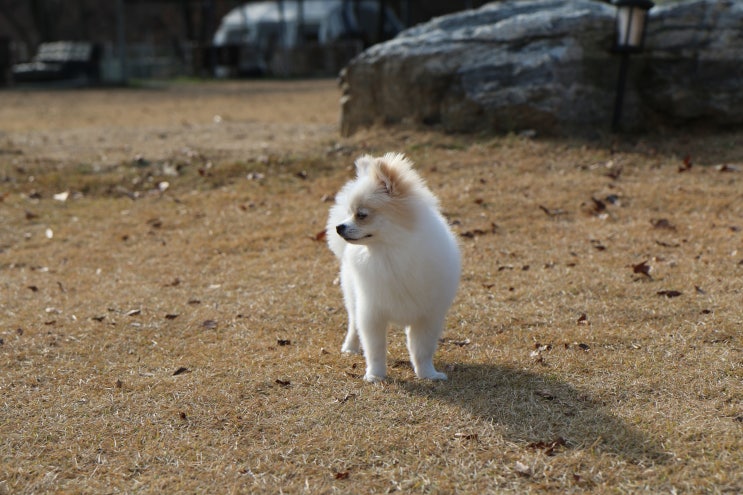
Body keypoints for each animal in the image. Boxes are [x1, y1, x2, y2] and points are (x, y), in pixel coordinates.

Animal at [328, 154, 462, 384]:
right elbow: (375, 349)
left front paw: (428, 374)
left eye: (361, 214)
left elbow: (422, 349)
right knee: (353, 323)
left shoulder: (428, 315)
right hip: (353, 297)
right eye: (349, 213)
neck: (390, 253)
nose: (339, 227)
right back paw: (350, 347)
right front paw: (375, 375)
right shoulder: (371, 313)